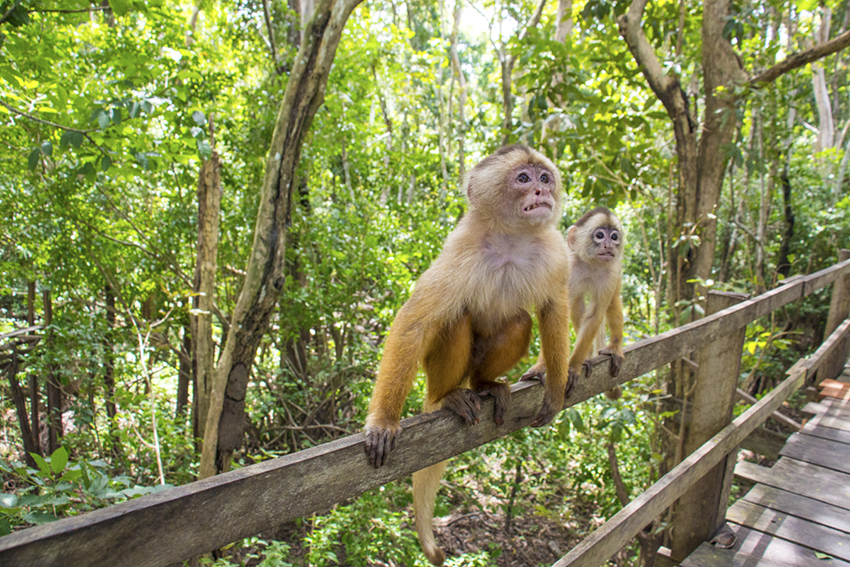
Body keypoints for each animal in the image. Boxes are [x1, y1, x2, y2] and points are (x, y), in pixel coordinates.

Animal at [362, 145, 568, 564]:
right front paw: (383, 421)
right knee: (453, 320)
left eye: (544, 177)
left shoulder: (554, 253)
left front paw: (554, 387)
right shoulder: (461, 251)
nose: (541, 192)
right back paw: (447, 397)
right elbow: (414, 323)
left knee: (518, 320)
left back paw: (486, 384)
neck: (511, 240)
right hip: (438, 371)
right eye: (523, 179)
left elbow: (553, 310)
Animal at [520, 206, 628, 398]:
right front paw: (541, 367)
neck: (590, 265)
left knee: (613, 300)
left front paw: (574, 365)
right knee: (576, 302)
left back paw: (614, 346)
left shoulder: (611, 272)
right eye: (600, 235)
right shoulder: (564, 267)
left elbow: (594, 315)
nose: (608, 245)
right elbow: (555, 315)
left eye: (614, 237)